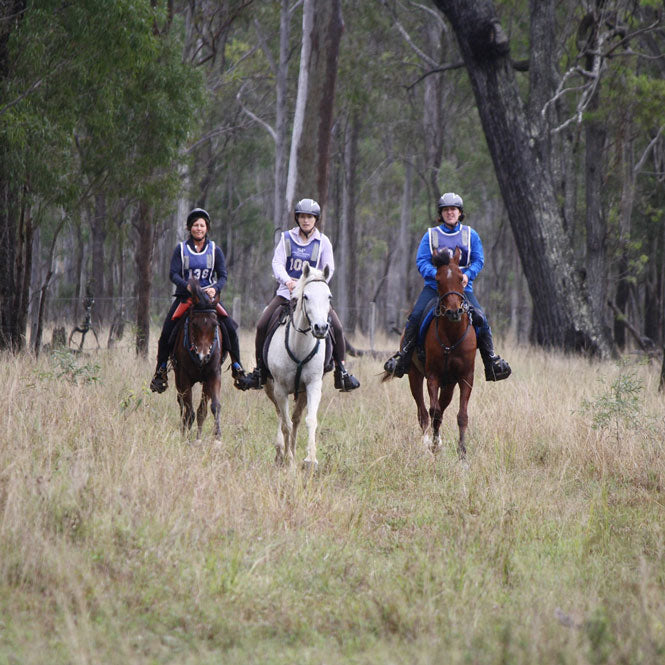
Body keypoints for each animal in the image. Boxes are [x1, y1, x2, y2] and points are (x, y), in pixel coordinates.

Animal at [171, 278, 226, 444]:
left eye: (215, 325)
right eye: (194, 324)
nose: (203, 356)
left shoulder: (213, 375)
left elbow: (212, 407)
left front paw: (216, 437)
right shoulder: (183, 377)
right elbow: (189, 411)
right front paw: (186, 438)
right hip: (178, 378)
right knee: (182, 405)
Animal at [262, 262, 330, 470]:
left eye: (329, 296)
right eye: (306, 296)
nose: (321, 328)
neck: (299, 346)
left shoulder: (313, 385)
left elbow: (310, 420)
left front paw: (311, 459)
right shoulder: (280, 389)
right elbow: (285, 424)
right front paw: (289, 461)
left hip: (301, 393)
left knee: (296, 418)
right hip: (270, 387)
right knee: (280, 415)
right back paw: (280, 453)